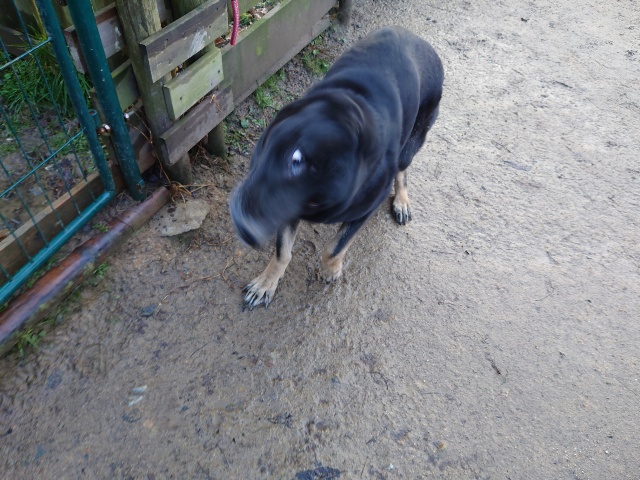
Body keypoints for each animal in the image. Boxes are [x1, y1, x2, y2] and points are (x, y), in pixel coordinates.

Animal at [230, 26, 444, 309]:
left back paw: (402, 200)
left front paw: (331, 269)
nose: (243, 226)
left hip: (414, 140)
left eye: (297, 160)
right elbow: (283, 251)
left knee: (402, 168)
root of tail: (419, 40)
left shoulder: (364, 209)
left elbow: (334, 248)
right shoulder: (286, 210)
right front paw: (267, 283)